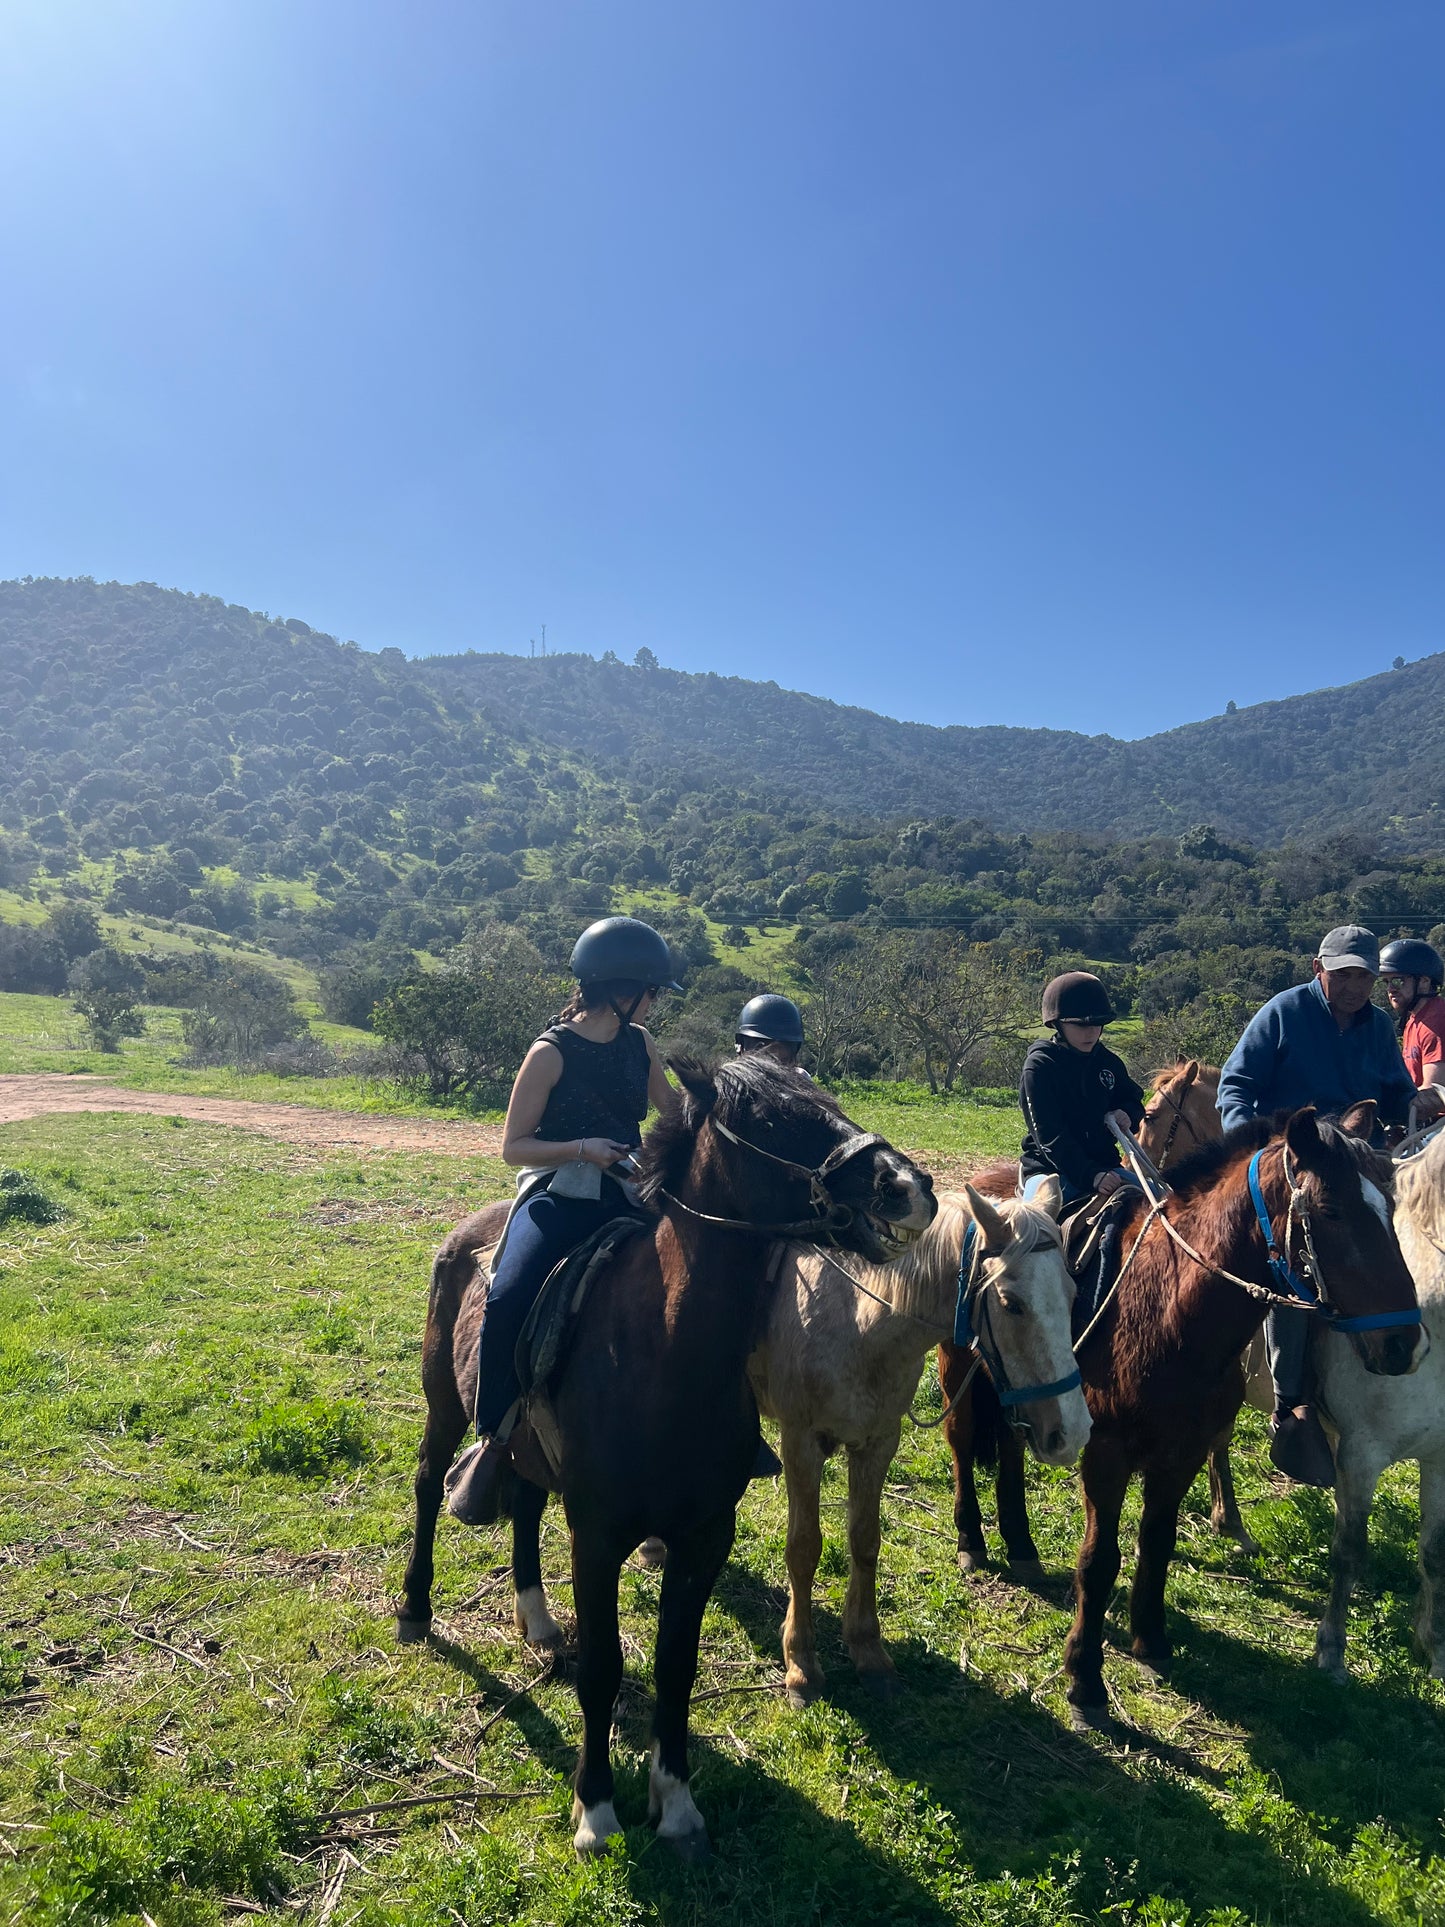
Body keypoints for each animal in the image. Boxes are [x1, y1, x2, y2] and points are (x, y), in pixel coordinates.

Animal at [396, 1063, 940, 1857]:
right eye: (772, 1119)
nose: (908, 1185)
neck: (664, 1351)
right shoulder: (597, 1537)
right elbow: (603, 1667)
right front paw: (595, 1809)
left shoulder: (705, 1536)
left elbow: (675, 1667)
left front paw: (676, 1803)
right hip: (444, 1406)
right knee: (429, 1484)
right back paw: (415, 1607)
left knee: (524, 1505)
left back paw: (537, 1623)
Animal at [751, 1171, 1094, 1703]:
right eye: (1011, 1303)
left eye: (1073, 1294)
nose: (1072, 1432)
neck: (856, 1316)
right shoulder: (801, 1445)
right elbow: (803, 1549)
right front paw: (802, 1664)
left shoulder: (877, 1442)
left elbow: (865, 1540)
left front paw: (868, 1652)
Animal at [1055, 1109, 1418, 1726]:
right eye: (1330, 1211)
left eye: (1391, 1207)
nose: (1403, 1343)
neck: (1166, 1308)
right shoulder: (1105, 1454)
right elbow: (1098, 1558)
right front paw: (1085, 1680)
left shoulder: (1182, 1452)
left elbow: (1157, 1540)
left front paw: (1151, 1641)